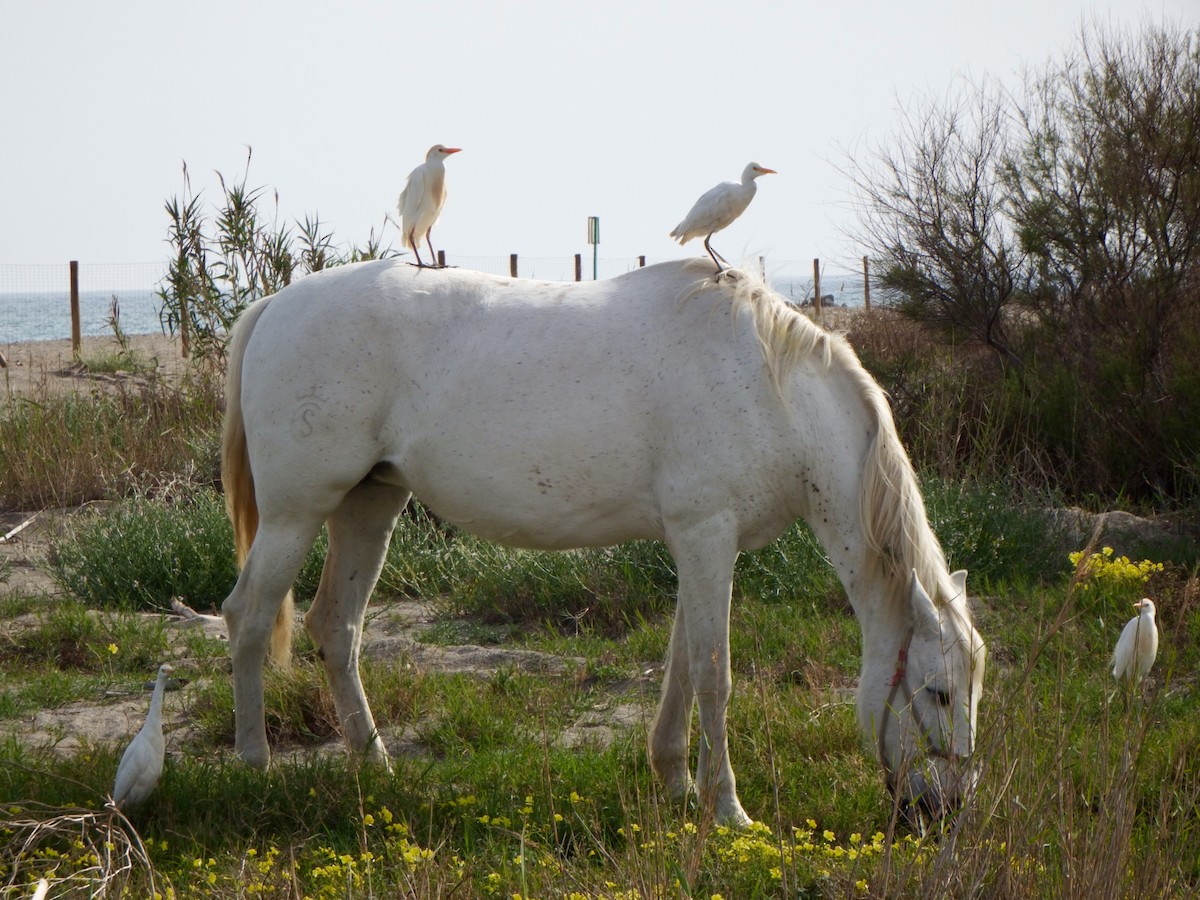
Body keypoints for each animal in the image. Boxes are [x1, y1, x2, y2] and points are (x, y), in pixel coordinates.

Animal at [220, 256, 988, 830]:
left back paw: (374, 762)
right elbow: (715, 674)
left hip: (368, 506)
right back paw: (255, 766)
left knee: (336, 628)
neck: (773, 390)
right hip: (296, 514)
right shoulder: (707, 535)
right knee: (250, 618)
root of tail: (274, 307)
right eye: (940, 693)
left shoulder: (703, 545)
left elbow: (682, 667)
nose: (945, 811)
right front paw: (728, 809)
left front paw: (675, 781)